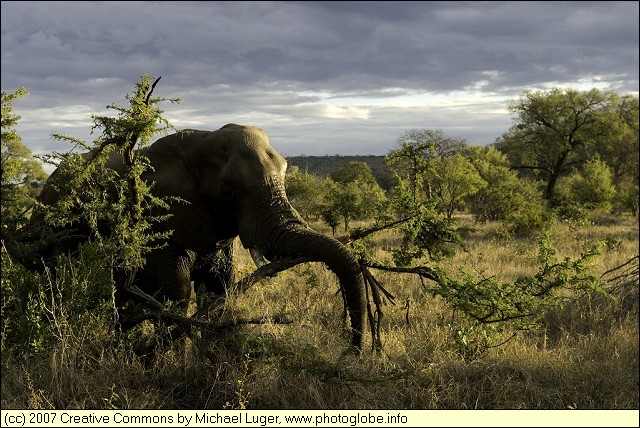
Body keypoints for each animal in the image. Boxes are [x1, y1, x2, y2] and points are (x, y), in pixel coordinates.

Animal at [18, 123, 364, 352]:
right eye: (230, 192)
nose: (353, 351)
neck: (200, 140)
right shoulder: (154, 217)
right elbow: (177, 291)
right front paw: (170, 360)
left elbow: (218, 287)